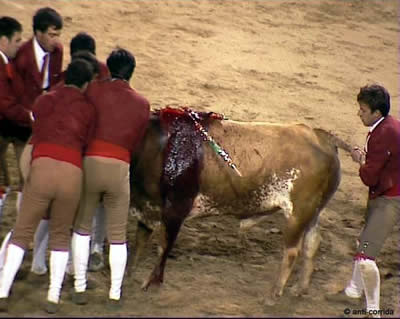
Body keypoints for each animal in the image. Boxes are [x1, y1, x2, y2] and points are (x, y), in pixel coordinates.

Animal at [126, 109, 350, 306]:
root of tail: (321, 137)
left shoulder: (175, 210)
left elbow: (163, 246)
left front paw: (150, 284)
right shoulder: (147, 207)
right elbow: (140, 242)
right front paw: (129, 275)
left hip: (298, 213)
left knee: (292, 251)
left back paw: (273, 294)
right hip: (312, 213)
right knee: (312, 243)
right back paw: (300, 288)